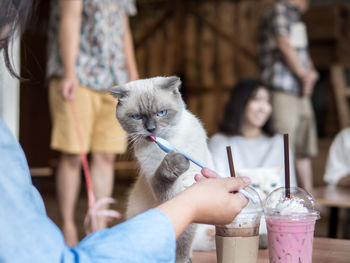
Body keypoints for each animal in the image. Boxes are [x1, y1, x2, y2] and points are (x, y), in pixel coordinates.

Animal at [110, 75, 216, 262]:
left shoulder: (188, 189)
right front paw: (174, 162)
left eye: (161, 113)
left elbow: (183, 240)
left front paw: (181, 260)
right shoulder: (160, 184)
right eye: (136, 117)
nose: (151, 129)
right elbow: (163, 177)